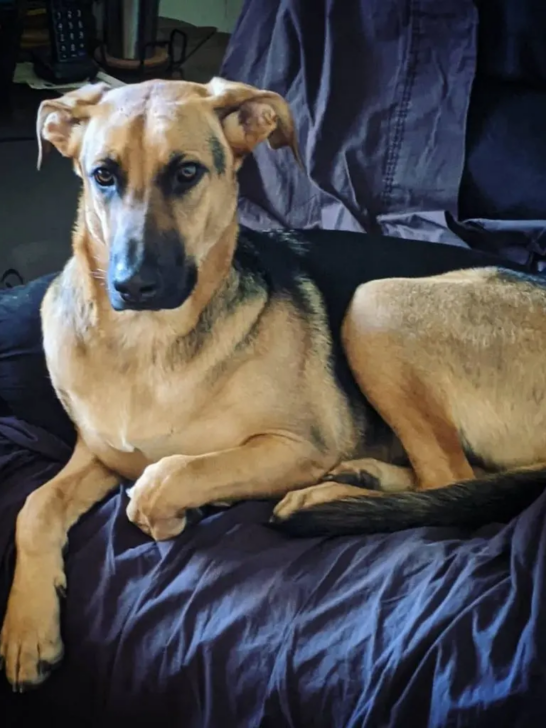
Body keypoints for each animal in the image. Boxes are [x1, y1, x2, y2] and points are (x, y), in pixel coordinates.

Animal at [1, 81, 544, 692]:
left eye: (186, 173)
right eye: (103, 175)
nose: (132, 286)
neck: (147, 345)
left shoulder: (298, 446)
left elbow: (166, 477)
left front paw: (173, 510)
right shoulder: (97, 455)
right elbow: (34, 506)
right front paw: (27, 629)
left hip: (375, 304)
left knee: (450, 479)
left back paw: (325, 494)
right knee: (451, 479)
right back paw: (360, 476)